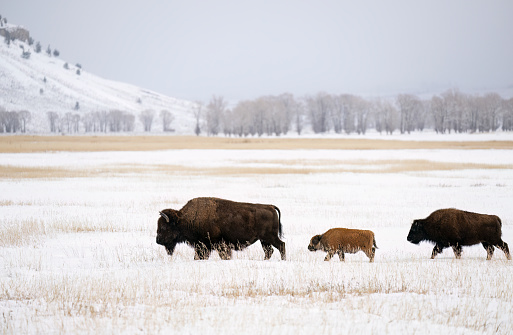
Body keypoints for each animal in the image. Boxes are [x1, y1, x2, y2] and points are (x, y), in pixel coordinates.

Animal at [154, 198, 286, 262]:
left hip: (270, 237)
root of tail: (270, 206)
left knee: (281, 245)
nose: (158, 240)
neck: (184, 219)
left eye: (164, 227)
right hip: (264, 240)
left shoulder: (214, 245)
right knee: (269, 251)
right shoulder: (203, 247)